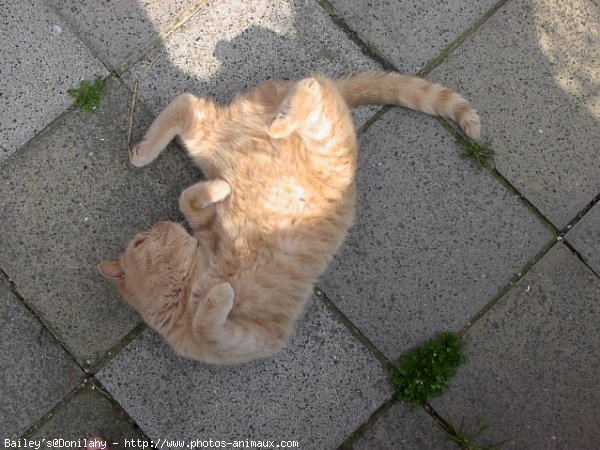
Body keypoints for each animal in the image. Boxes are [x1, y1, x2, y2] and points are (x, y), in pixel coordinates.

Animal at [99, 71, 482, 366]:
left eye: (138, 240)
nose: (157, 225)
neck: (189, 285)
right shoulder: (243, 337)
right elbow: (206, 324)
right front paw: (220, 290)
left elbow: (188, 201)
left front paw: (220, 189)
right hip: (211, 139)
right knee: (191, 104)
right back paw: (146, 151)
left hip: (309, 140)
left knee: (310, 86)